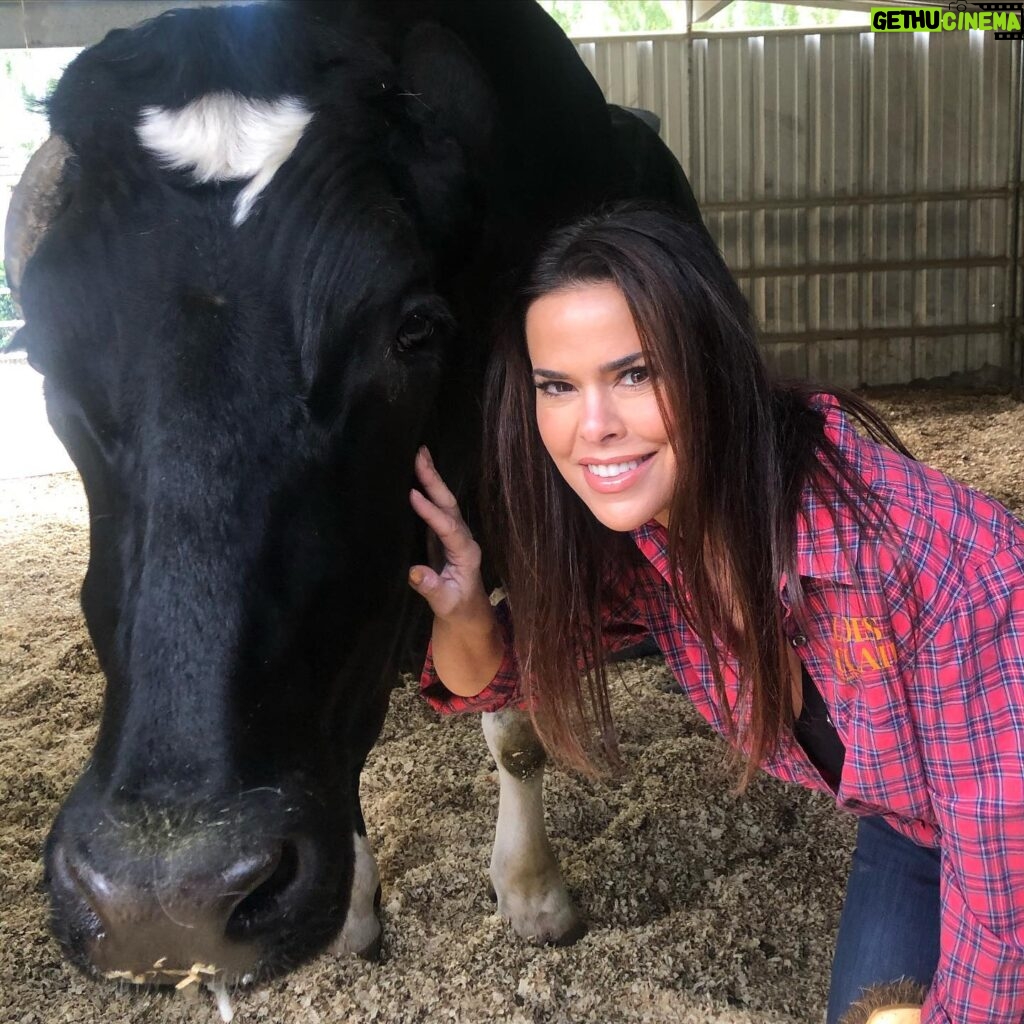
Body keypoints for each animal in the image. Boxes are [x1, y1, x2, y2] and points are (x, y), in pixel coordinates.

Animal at [4, 0, 704, 995]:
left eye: (413, 330)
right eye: (40, 352)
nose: (162, 902)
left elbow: (515, 728)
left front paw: (533, 892)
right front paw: (360, 913)